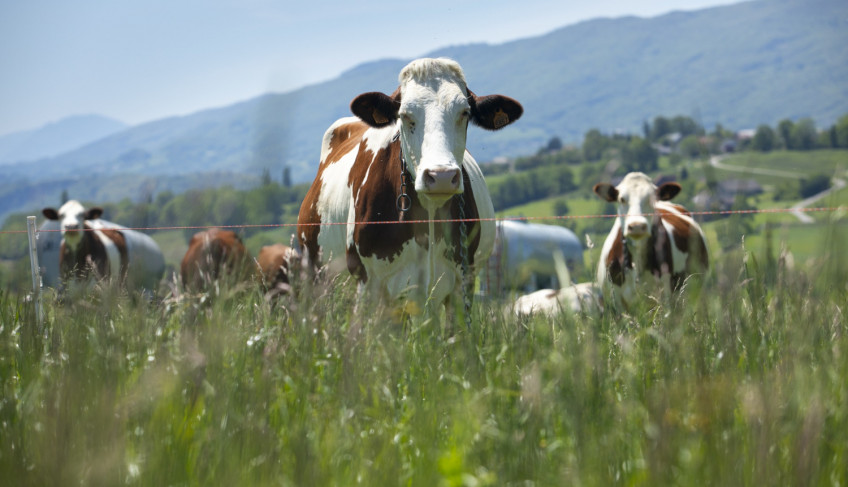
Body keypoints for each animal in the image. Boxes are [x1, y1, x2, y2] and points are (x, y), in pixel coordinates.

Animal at [298, 56, 524, 308]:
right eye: (405, 115)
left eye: (464, 112)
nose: (441, 176)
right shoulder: (368, 284)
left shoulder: (461, 283)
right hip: (317, 279)